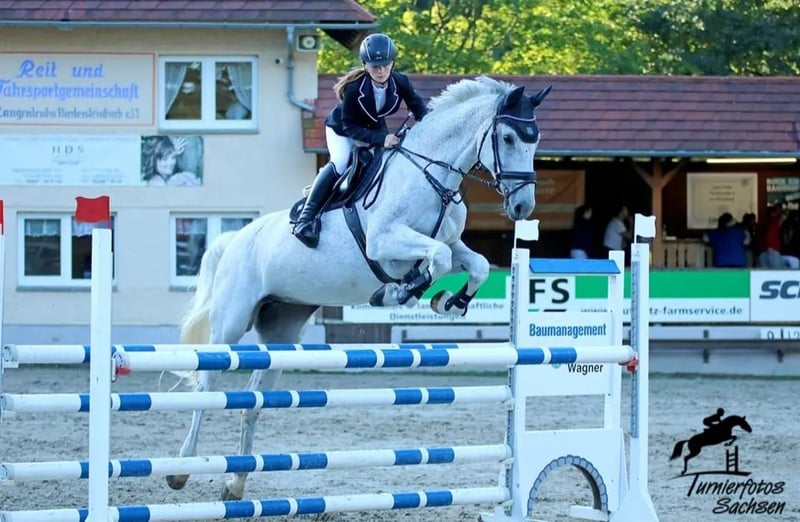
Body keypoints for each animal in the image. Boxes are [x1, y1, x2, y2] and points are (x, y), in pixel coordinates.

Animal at [165, 76, 552, 500]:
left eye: (535, 140)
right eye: (508, 137)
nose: (522, 207)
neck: (430, 175)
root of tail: (234, 237)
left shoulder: (450, 242)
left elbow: (472, 264)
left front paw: (447, 302)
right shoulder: (385, 243)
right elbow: (435, 260)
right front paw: (400, 292)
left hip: (282, 330)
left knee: (253, 400)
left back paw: (235, 483)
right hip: (231, 323)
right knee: (208, 384)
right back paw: (180, 469)